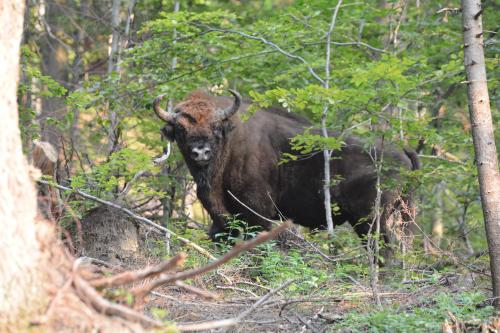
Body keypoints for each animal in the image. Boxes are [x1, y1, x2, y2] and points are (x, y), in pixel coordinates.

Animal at [152, 89, 418, 245]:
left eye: (216, 127)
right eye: (180, 129)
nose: (200, 152)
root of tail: (401, 151)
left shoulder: (256, 212)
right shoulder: (221, 217)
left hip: (371, 219)